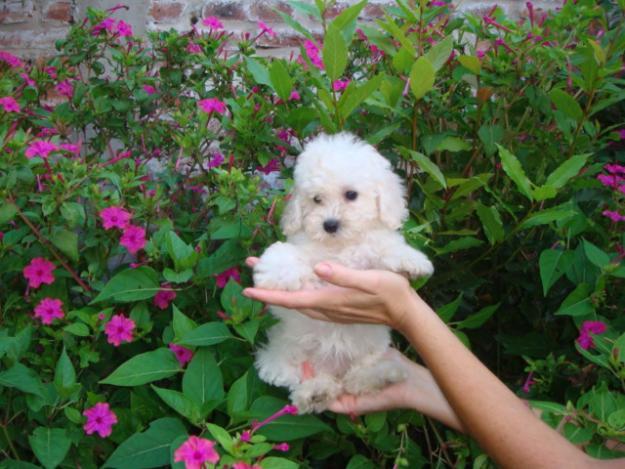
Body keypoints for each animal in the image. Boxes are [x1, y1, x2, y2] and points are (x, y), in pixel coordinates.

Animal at [251, 133, 432, 414]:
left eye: (351, 195)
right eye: (316, 199)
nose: (330, 224)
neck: (341, 246)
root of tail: (332, 369)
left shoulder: (372, 254)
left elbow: (386, 249)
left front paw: (412, 260)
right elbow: (288, 254)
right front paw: (274, 272)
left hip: (371, 349)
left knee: (357, 380)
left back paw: (383, 375)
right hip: (284, 351)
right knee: (298, 381)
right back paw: (316, 393)